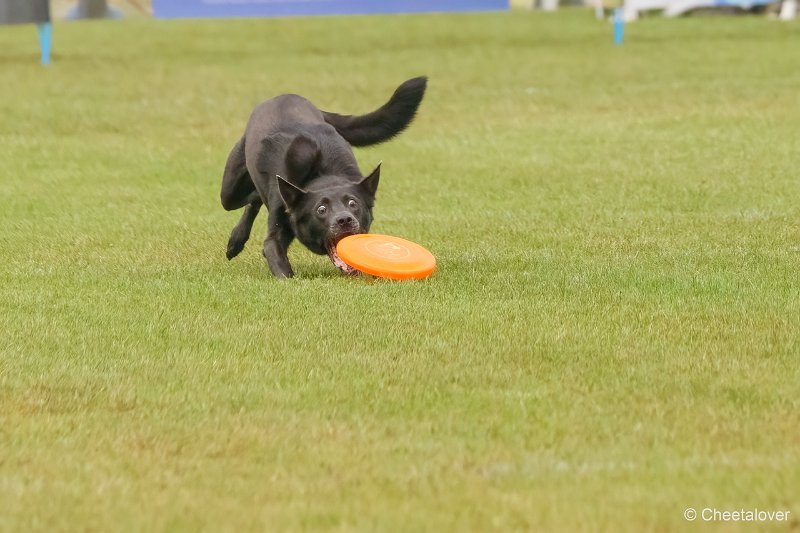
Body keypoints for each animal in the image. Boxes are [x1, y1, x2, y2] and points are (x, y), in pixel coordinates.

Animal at [220, 79, 424, 280]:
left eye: (353, 203)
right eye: (321, 209)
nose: (344, 220)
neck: (322, 174)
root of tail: (283, 96)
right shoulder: (275, 233)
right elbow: (279, 262)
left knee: (255, 198)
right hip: (230, 193)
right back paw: (235, 241)